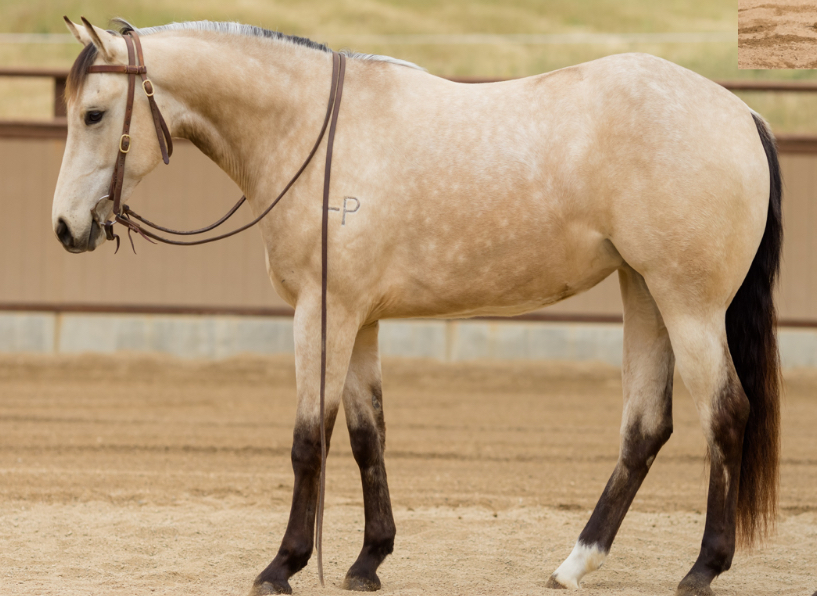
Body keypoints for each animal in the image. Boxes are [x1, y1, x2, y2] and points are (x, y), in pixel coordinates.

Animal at [52, 16, 784, 592]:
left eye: (93, 113)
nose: (66, 227)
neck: (310, 133)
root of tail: (742, 115)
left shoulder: (322, 314)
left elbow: (308, 441)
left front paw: (283, 566)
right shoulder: (358, 320)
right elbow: (365, 436)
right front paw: (367, 561)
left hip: (687, 304)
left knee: (725, 414)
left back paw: (702, 568)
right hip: (645, 292)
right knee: (645, 427)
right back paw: (576, 563)